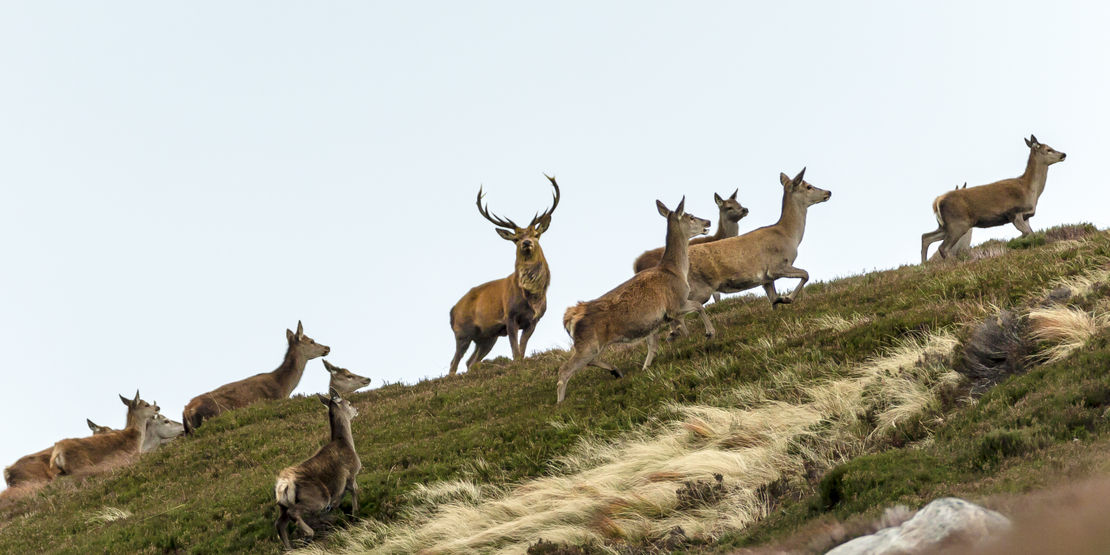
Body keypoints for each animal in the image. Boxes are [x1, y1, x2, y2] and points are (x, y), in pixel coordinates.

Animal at [274, 389, 361, 550]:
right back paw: (309, 534)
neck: (346, 443)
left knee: (279, 523)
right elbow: (354, 491)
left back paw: (289, 548)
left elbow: (339, 499)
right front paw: (355, 514)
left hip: (282, 505)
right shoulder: (351, 473)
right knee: (293, 513)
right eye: (349, 403)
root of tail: (283, 485)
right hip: (317, 498)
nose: (357, 409)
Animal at [449, 176, 561, 375]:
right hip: (462, 332)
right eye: (515, 238)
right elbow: (515, 351)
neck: (532, 296)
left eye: (536, 234)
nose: (526, 242)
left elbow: (522, 349)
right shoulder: (510, 316)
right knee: (453, 363)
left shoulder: (534, 320)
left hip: (486, 337)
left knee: (470, 361)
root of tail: (452, 311)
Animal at [556, 198, 711, 404]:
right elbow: (699, 306)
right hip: (588, 343)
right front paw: (710, 333)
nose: (708, 222)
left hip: (591, 344)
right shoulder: (675, 304)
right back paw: (560, 403)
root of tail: (570, 317)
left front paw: (646, 368)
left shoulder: (655, 322)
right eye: (691, 216)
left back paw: (616, 371)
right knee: (564, 370)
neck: (676, 272)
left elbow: (653, 346)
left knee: (587, 362)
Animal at [674, 168, 831, 338]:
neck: (789, 235)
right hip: (698, 288)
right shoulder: (777, 265)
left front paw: (779, 306)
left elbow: (773, 300)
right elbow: (806, 274)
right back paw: (700, 333)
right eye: (808, 186)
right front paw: (787, 298)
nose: (828, 192)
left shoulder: (766, 278)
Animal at [921, 134, 1067, 263]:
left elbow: (1031, 234)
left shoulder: (1027, 216)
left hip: (945, 226)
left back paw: (924, 266)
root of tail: (937, 202)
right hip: (958, 223)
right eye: (1048, 149)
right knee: (942, 247)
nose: (1063, 154)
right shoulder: (1014, 213)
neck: (1030, 190)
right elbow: (1028, 234)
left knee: (926, 237)